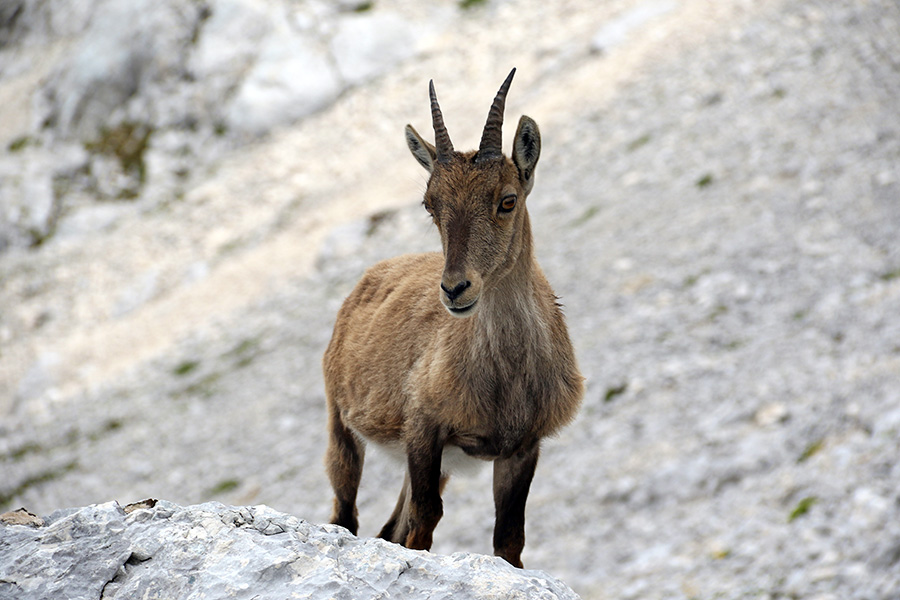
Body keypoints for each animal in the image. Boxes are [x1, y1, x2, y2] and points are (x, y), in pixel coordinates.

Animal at [323, 68, 583, 568]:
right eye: (430, 204)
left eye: (507, 200)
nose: (455, 289)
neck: (505, 377)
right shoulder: (423, 428)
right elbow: (424, 522)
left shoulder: (521, 448)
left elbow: (509, 538)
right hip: (341, 425)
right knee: (346, 515)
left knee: (387, 528)